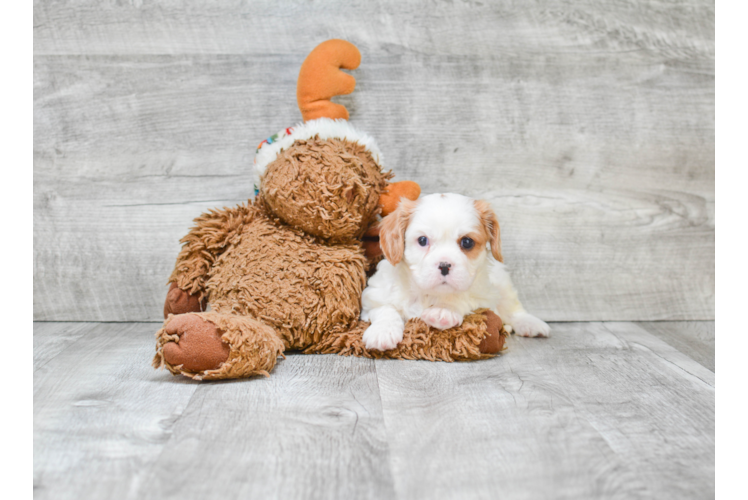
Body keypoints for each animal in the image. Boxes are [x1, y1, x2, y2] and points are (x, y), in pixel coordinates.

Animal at [362, 192, 548, 352]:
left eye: (467, 242)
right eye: (422, 240)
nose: (444, 265)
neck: (427, 294)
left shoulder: (485, 296)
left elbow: (465, 297)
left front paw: (444, 309)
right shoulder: (372, 298)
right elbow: (385, 309)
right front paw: (382, 331)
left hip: (502, 281)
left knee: (513, 308)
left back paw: (531, 324)